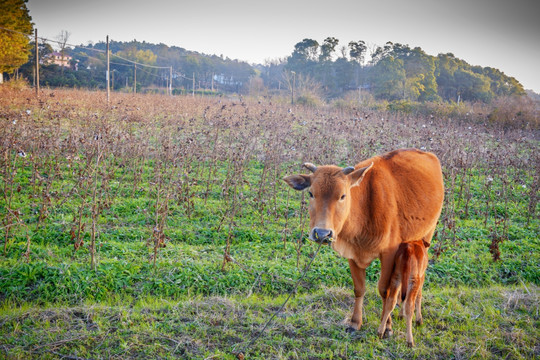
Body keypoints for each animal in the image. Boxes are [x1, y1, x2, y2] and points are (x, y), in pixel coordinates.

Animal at [282, 148, 442, 334]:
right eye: (311, 193)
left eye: (342, 195)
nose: (322, 233)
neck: (364, 209)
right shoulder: (352, 253)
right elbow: (359, 288)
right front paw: (355, 322)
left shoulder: (389, 254)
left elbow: (385, 290)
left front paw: (387, 326)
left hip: (427, 237)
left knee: (418, 279)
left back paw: (417, 317)